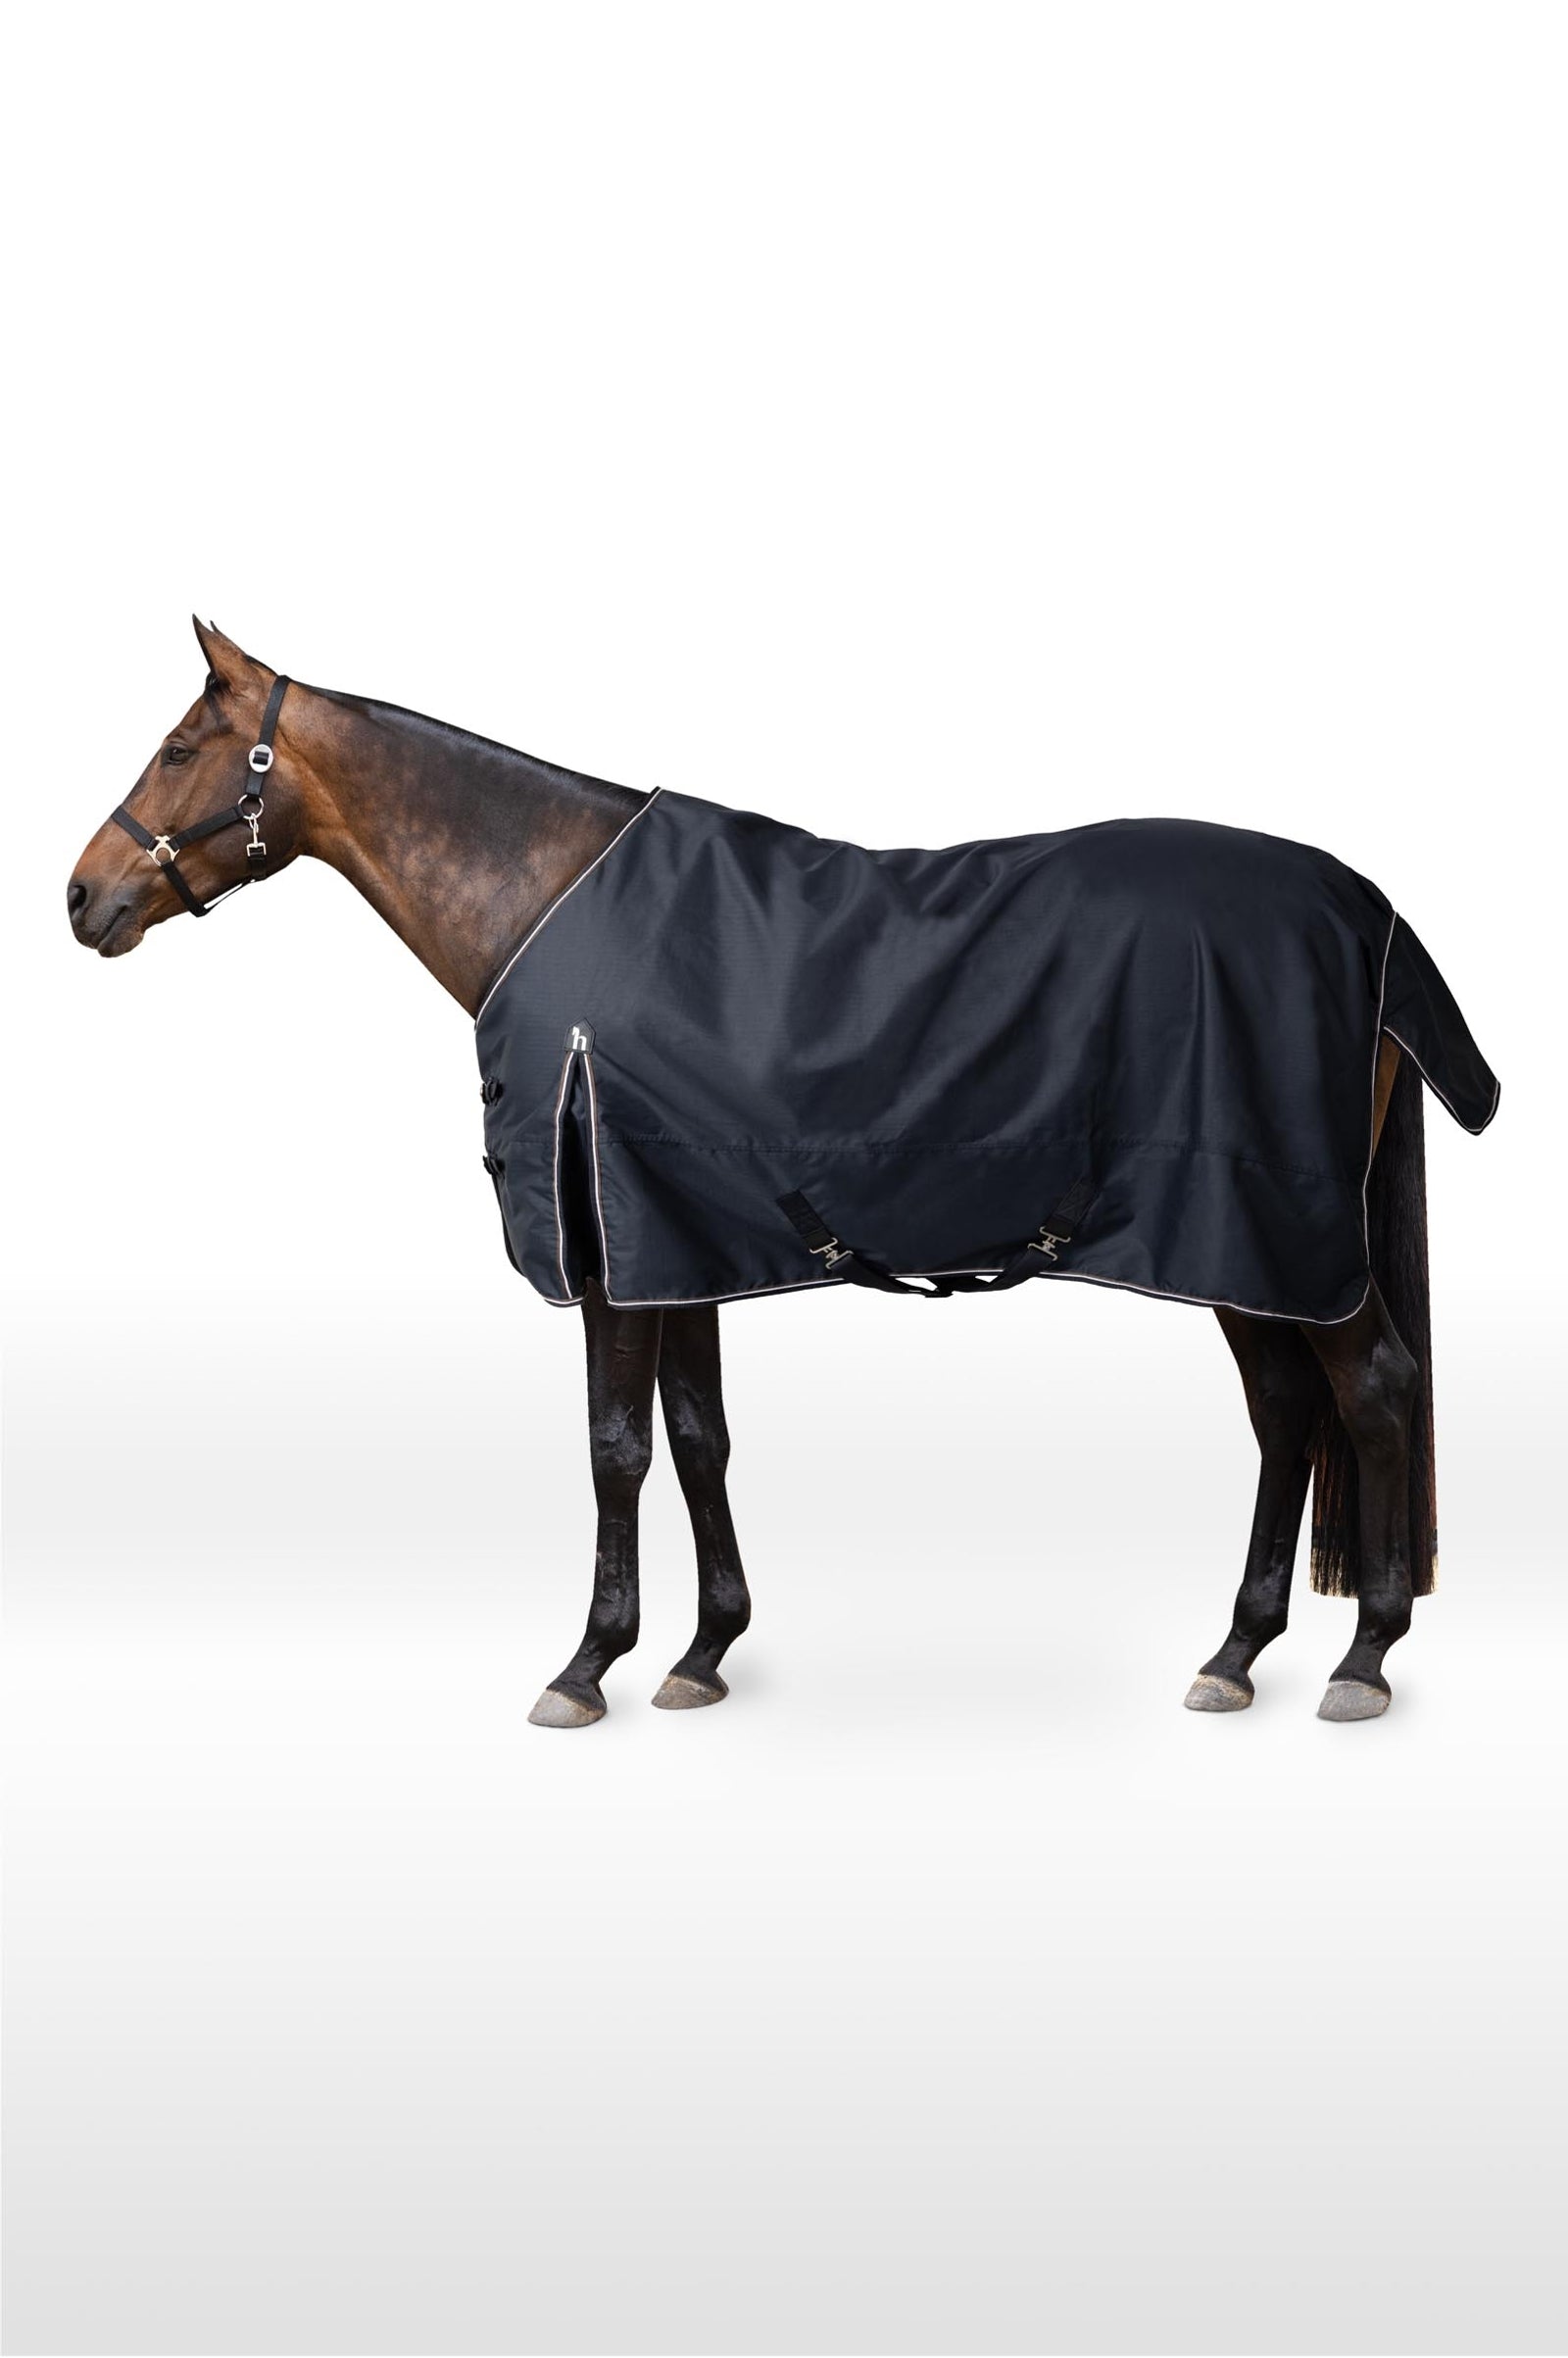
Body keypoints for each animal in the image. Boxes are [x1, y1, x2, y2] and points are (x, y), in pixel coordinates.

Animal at [67, 620, 1496, 1729]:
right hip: (1239, 1248)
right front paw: (704, 1652)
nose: (82, 898)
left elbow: (615, 1449)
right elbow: (698, 1436)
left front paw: (587, 1665)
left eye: (181, 748)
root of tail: (1366, 912)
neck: (548, 901)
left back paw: (1364, 1658)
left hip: (1275, 1234)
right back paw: (1237, 1653)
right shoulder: (673, 1237)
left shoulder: (611, 1256)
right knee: (1287, 1412)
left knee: (1373, 1393)